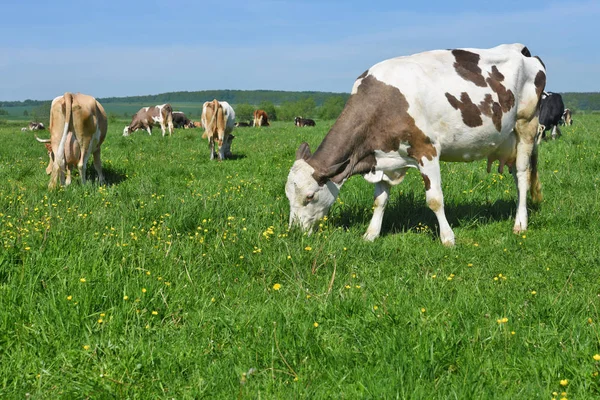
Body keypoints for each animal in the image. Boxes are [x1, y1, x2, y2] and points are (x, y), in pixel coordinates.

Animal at [288, 42, 548, 245]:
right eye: (287, 195)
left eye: (309, 196)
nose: (294, 232)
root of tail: (521, 49)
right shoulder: (382, 157)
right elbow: (379, 201)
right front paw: (371, 235)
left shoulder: (427, 151)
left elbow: (435, 199)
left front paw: (447, 238)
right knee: (516, 177)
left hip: (526, 125)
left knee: (523, 175)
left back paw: (520, 223)